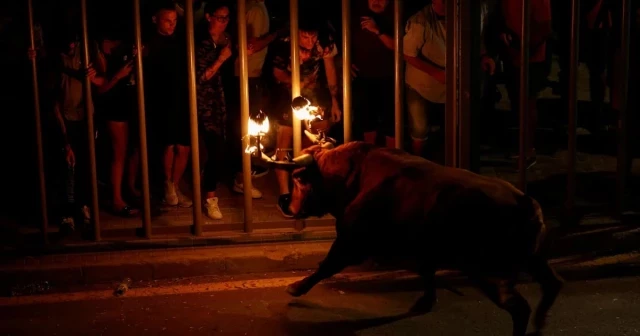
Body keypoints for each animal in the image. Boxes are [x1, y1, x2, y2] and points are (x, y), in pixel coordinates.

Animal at [268, 142, 564, 336]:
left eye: (298, 179)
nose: (284, 202)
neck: (355, 175)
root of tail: (526, 203)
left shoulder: (351, 243)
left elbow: (326, 266)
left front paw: (296, 287)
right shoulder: (424, 249)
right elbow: (427, 272)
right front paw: (426, 301)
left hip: (488, 273)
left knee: (520, 308)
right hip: (534, 260)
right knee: (553, 285)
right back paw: (540, 324)